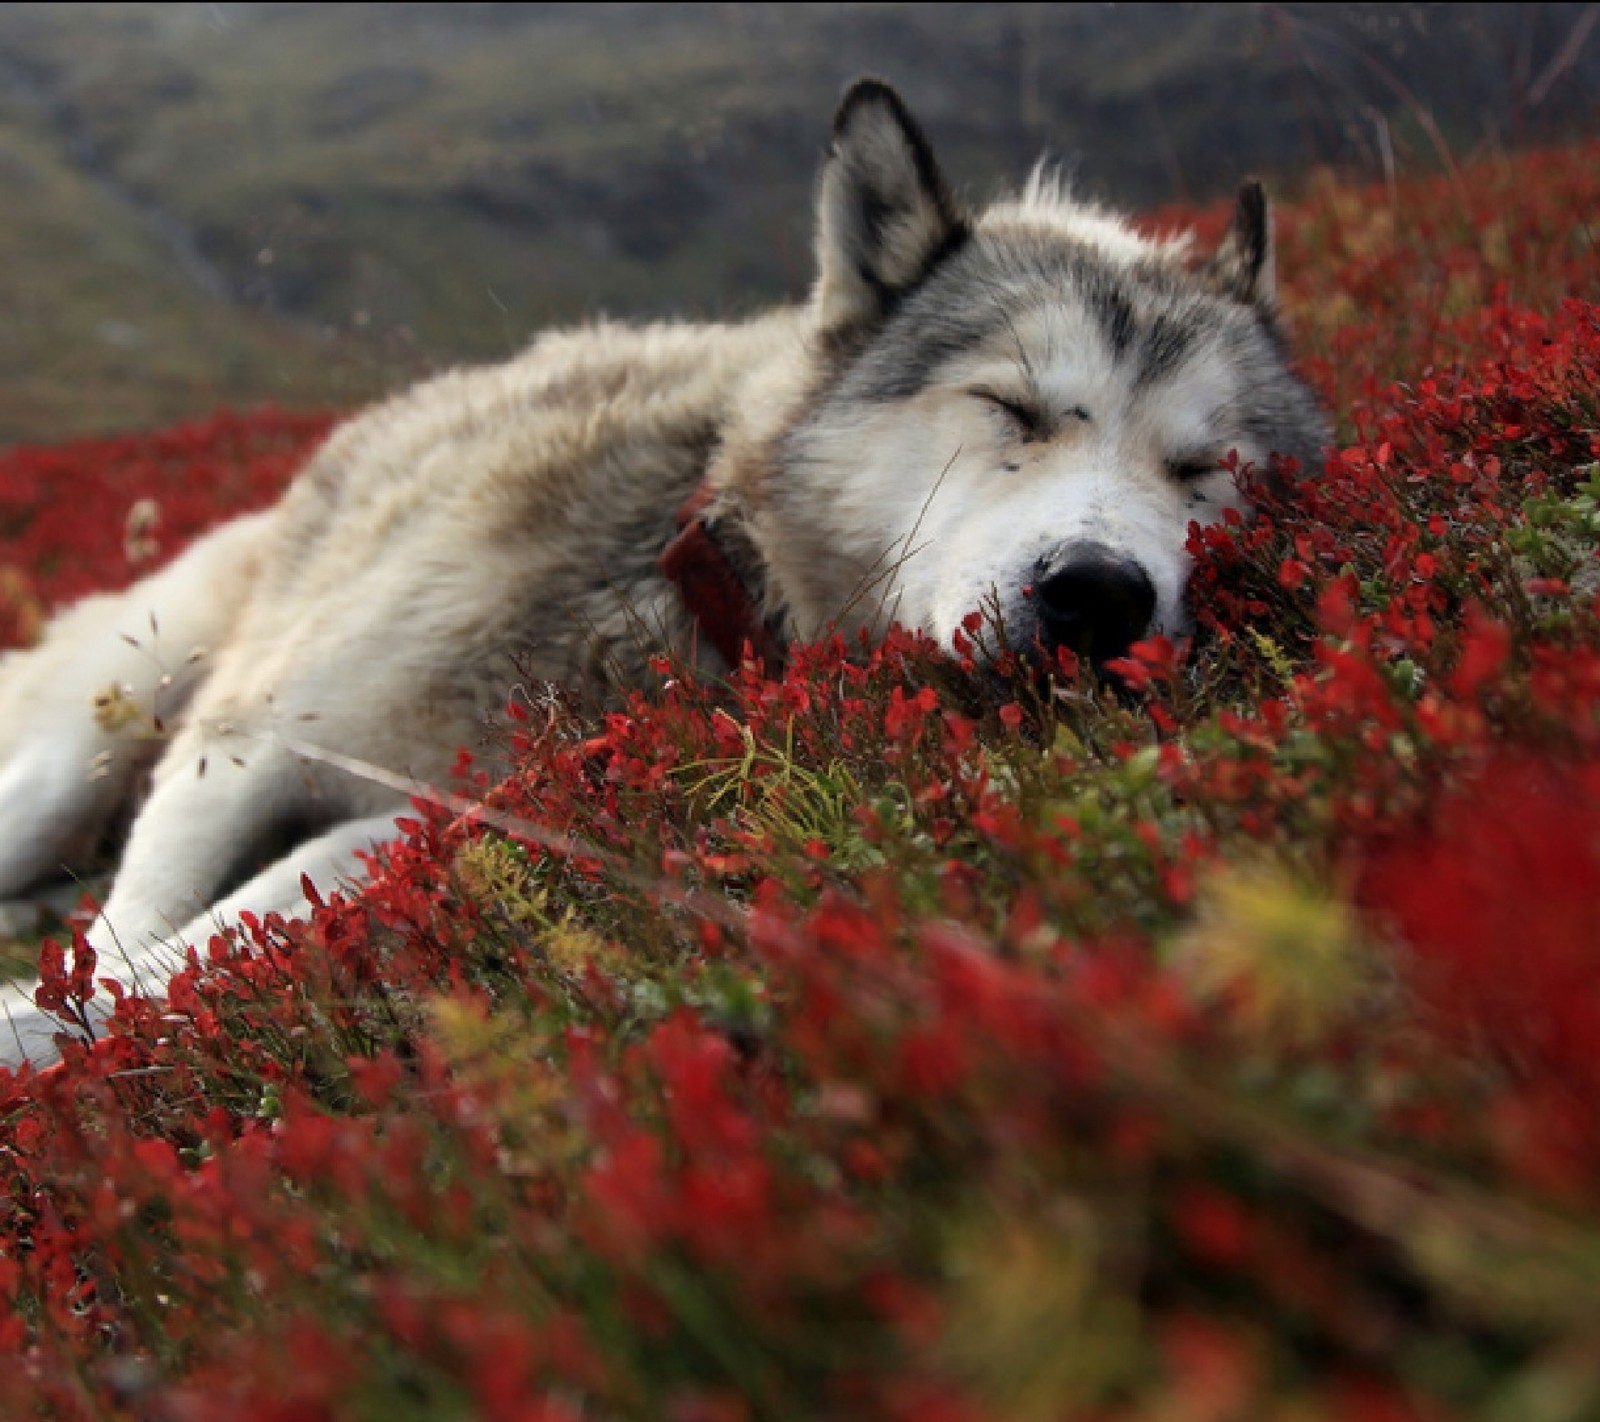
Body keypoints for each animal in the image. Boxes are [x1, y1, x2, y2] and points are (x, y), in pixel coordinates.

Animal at [0, 74, 1324, 1055]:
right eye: (1011, 407)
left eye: (1205, 470)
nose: (1099, 594)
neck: (671, 577)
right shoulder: (241, 743)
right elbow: (126, 939)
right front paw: (42, 1019)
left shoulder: (427, 821)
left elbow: (215, 934)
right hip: (87, 743)